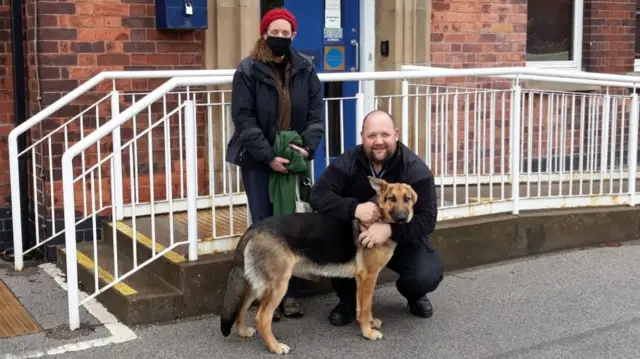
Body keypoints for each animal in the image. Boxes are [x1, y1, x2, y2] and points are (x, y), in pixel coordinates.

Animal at [221, 177, 420, 354]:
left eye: (407, 199)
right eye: (391, 198)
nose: (402, 218)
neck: (377, 220)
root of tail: (254, 228)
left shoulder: (366, 280)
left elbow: (366, 305)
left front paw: (370, 324)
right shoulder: (367, 277)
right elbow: (364, 308)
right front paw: (368, 332)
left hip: (254, 285)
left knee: (241, 307)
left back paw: (243, 332)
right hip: (278, 286)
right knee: (262, 318)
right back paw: (275, 347)